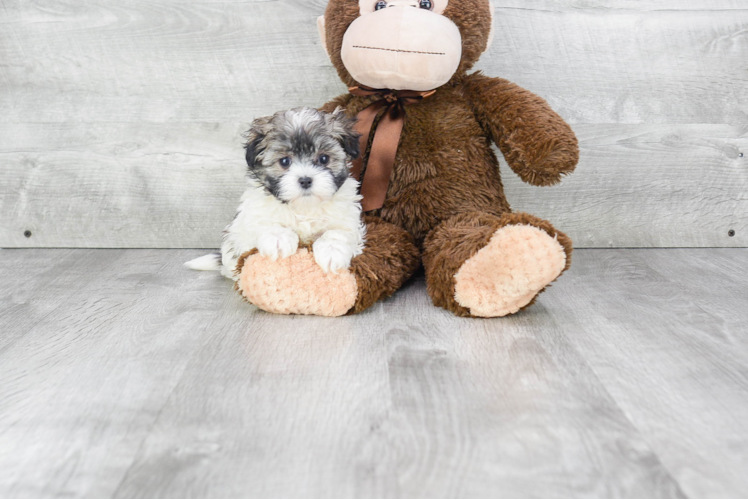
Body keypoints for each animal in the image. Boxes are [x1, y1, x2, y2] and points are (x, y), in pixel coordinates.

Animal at [184, 107, 366, 280]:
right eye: (284, 161)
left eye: (323, 159)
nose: (305, 180)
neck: (304, 207)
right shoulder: (250, 216)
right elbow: (266, 221)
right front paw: (279, 239)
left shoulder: (347, 218)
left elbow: (338, 232)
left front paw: (332, 251)